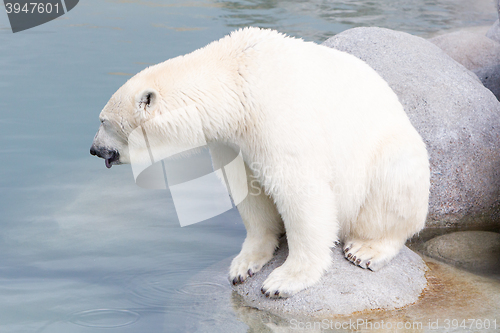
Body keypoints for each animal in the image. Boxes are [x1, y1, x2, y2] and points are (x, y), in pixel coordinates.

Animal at [91, 27, 430, 296]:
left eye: (104, 122)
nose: (94, 149)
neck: (235, 81)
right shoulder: (232, 139)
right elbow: (248, 188)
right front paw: (244, 265)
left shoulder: (276, 117)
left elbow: (300, 190)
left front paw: (283, 281)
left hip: (393, 157)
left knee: (392, 188)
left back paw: (365, 249)